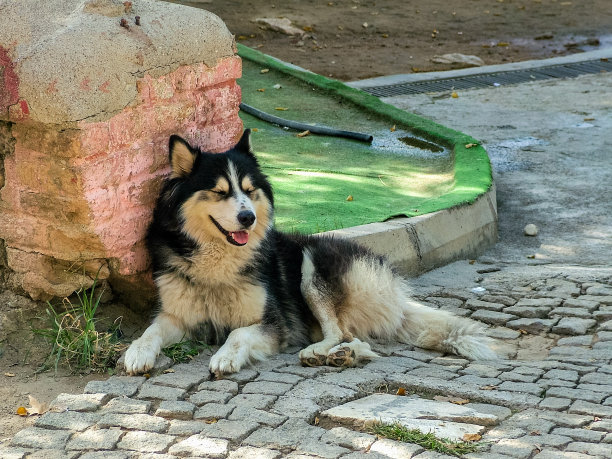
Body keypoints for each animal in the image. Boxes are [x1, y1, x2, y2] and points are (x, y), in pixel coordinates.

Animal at [124, 130, 498, 378]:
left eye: (249, 190)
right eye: (219, 192)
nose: (248, 217)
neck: (218, 260)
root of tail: (395, 292)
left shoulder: (274, 324)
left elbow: (237, 333)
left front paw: (225, 357)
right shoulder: (177, 315)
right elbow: (151, 330)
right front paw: (136, 352)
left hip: (313, 266)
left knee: (341, 331)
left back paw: (320, 352)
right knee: (358, 340)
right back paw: (343, 356)